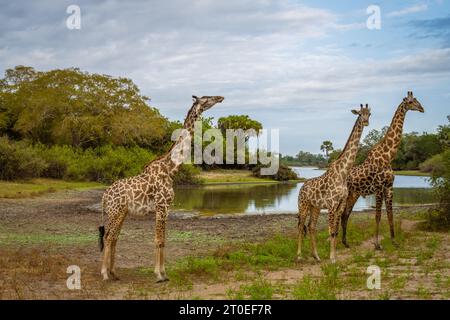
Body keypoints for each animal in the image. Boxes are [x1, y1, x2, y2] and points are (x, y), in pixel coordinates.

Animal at [99, 95, 224, 282]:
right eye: (206, 98)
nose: (220, 97)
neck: (171, 169)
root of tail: (104, 196)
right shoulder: (161, 206)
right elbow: (158, 240)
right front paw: (158, 274)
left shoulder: (167, 208)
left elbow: (164, 240)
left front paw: (165, 274)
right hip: (115, 211)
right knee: (108, 237)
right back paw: (105, 274)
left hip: (122, 212)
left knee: (114, 237)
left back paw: (114, 272)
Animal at [298, 104, 370, 262]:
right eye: (360, 113)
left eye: (369, 113)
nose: (366, 122)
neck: (343, 173)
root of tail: (301, 187)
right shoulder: (332, 205)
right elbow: (331, 231)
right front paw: (332, 258)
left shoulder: (341, 204)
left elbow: (335, 231)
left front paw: (334, 256)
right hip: (303, 205)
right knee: (300, 226)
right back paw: (299, 256)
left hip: (315, 207)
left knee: (311, 227)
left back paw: (316, 256)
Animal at [342, 91, 424, 249]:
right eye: (411, 102)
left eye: (417, 100)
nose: (422, 109)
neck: (387, 157)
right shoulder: (379, 188)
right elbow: (378, 215)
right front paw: (377, 244)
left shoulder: (389, 187)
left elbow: (390, 214)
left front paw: (394, 241)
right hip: (346, 195)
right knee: (340, 214)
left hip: (354, 194)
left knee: (345, 214)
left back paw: (344, 242)